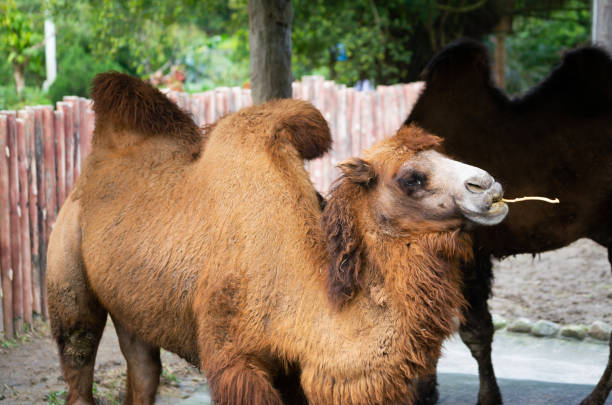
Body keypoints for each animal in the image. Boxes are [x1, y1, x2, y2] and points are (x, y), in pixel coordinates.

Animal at [46, 72, 506, 404]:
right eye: (412, 177)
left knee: (142, 371)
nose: (489, 187)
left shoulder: (294, 370)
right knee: (78, 351)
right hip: (65, 265)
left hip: (133, 306)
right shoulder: (235, 361)